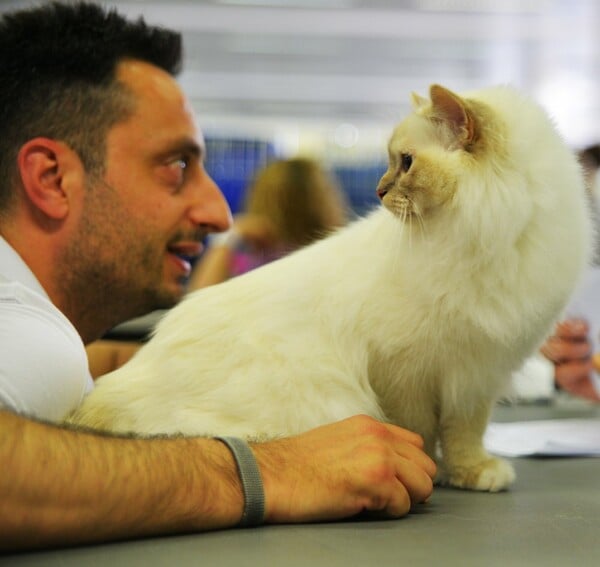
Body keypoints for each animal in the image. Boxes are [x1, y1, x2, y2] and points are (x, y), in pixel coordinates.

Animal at [69, 83, 592, 492]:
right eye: (390, 162)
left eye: (405, 163)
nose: (379, 191)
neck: (487, 240)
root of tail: (100, 394)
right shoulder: (405, 371)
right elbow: (419, 431)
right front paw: (427, 472)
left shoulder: (477, 374)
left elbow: (465, 436)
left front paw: (472, 474)